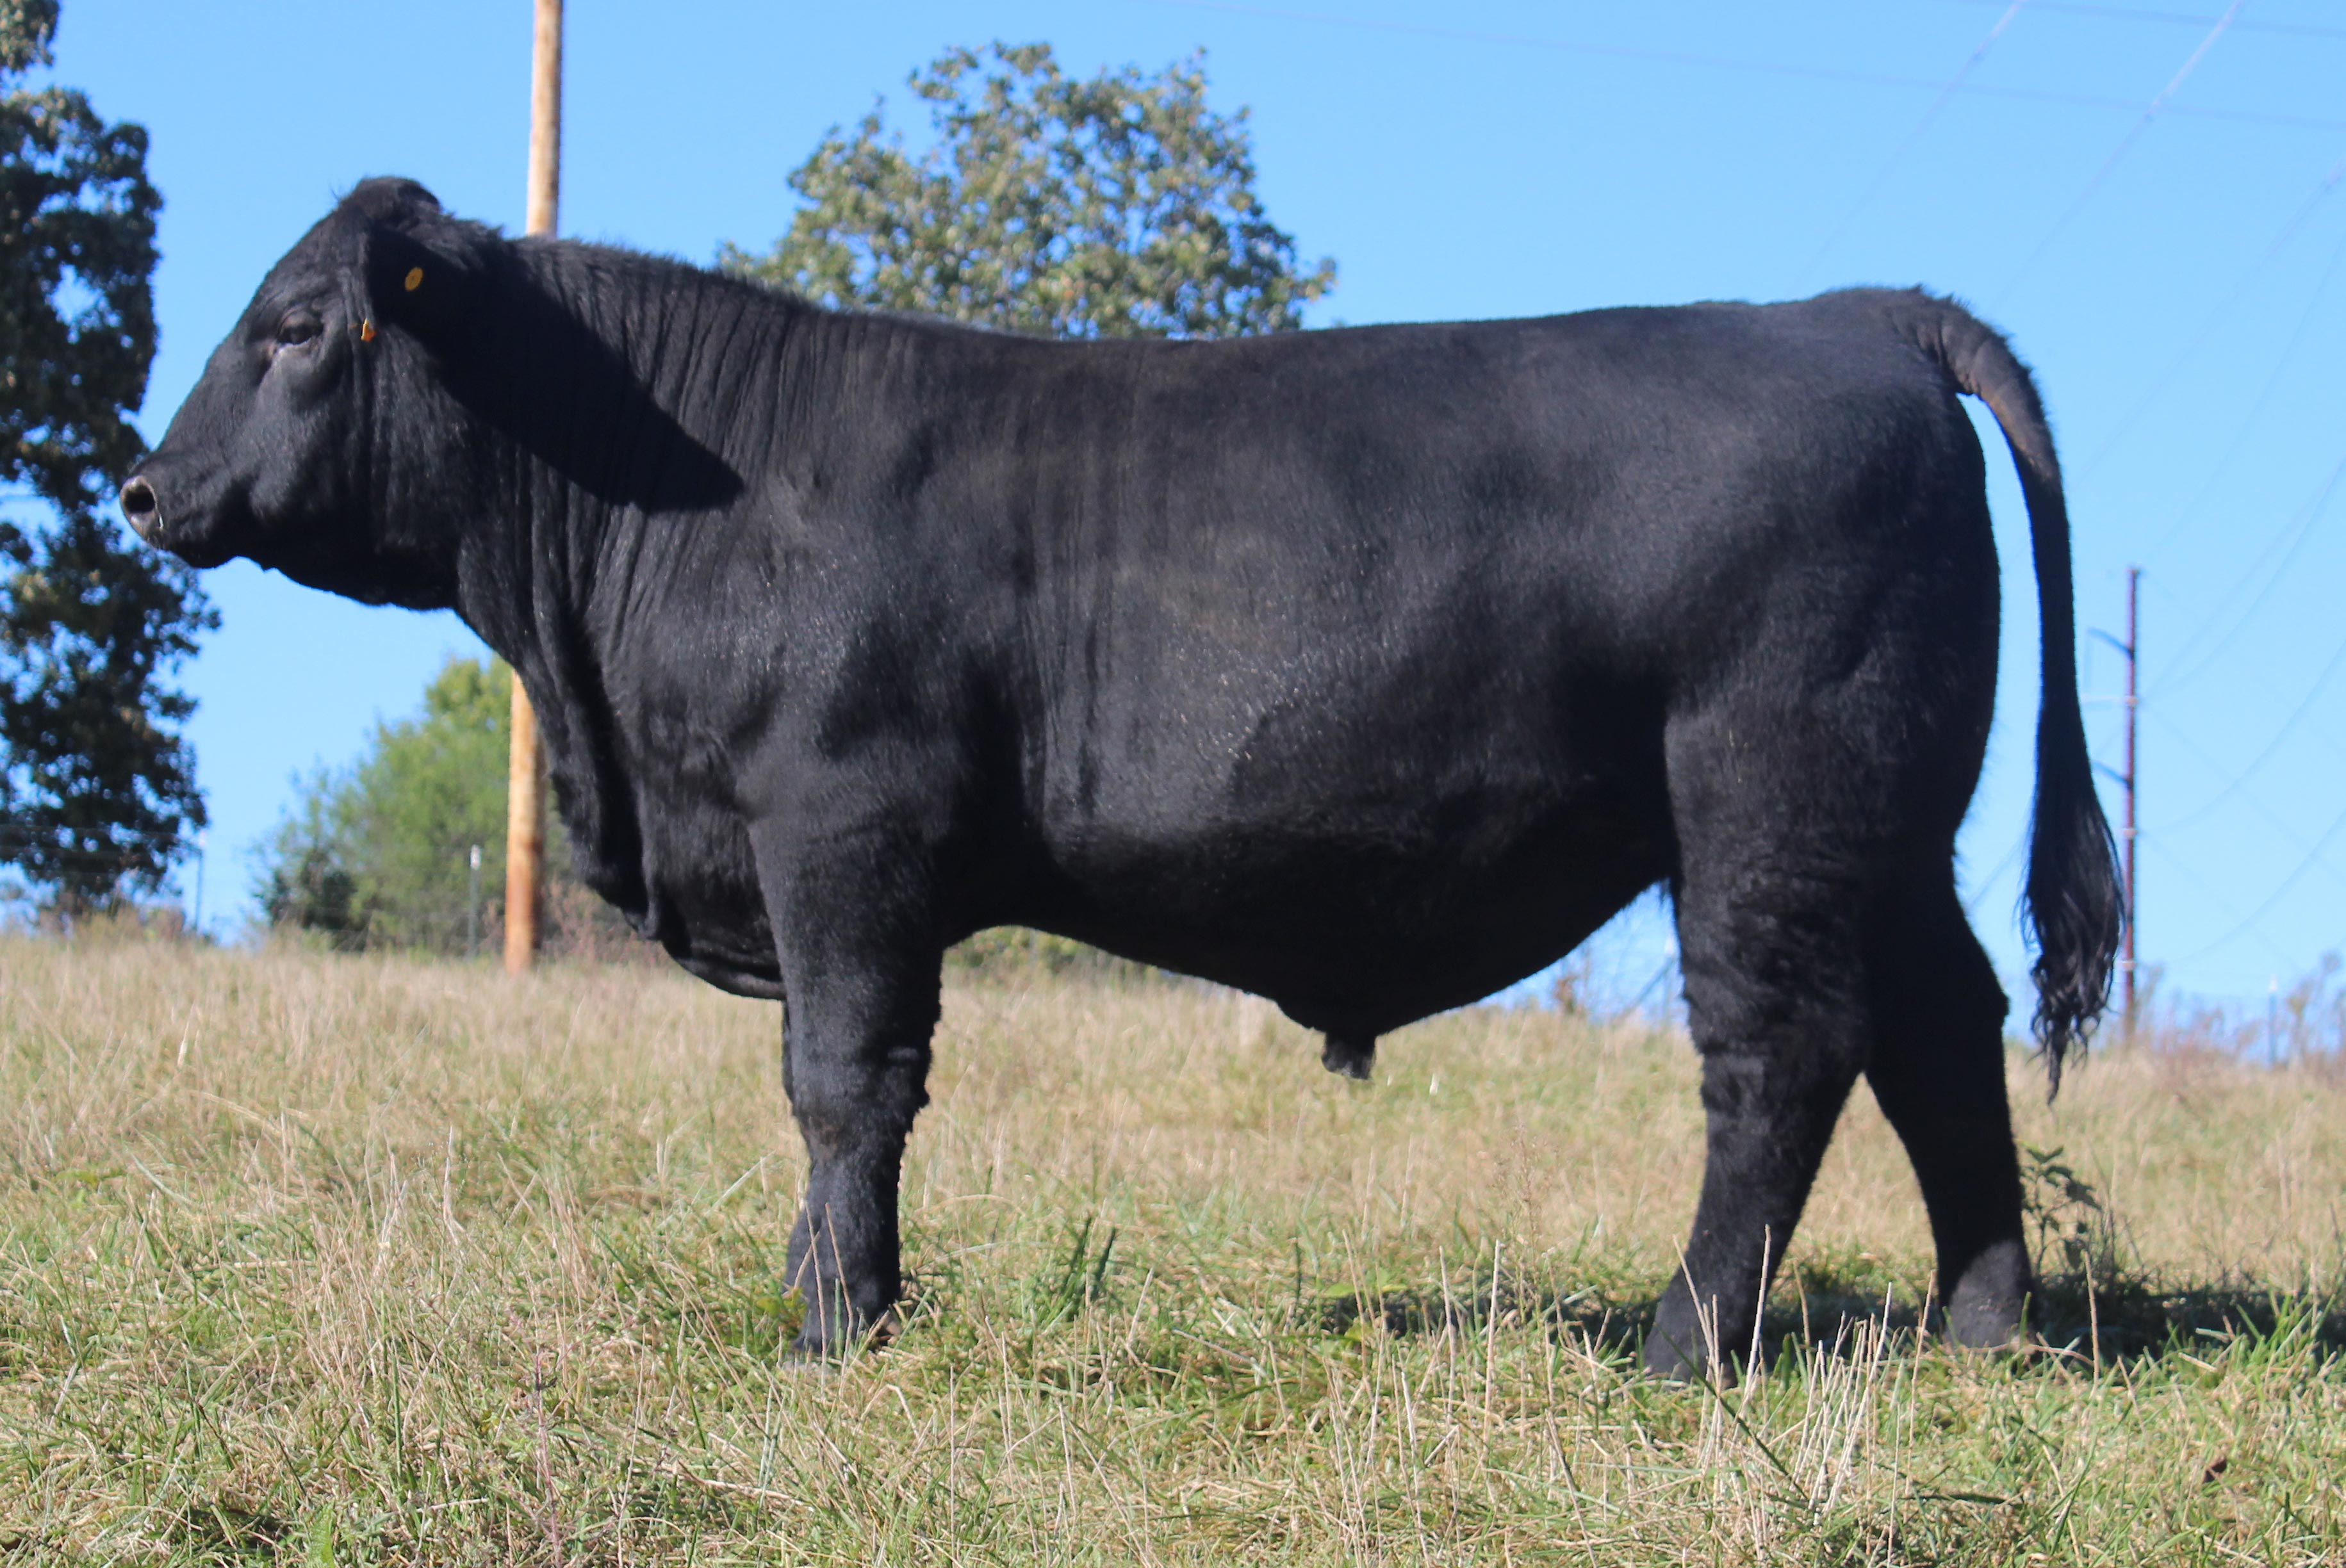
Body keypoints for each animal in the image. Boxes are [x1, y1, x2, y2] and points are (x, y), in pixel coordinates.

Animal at [123, 179, 2121, 1377]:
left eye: (294, 325)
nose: (145, 487)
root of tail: (1844, 311)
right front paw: (826, 1295)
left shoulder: (839, 821)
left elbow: (843, 1077)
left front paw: (835, 1326)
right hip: (1886, 822)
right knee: (1941, 1033)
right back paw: (1984, 1328)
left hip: (1767, 799)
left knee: (1779, 1056)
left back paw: (1684, 1342)